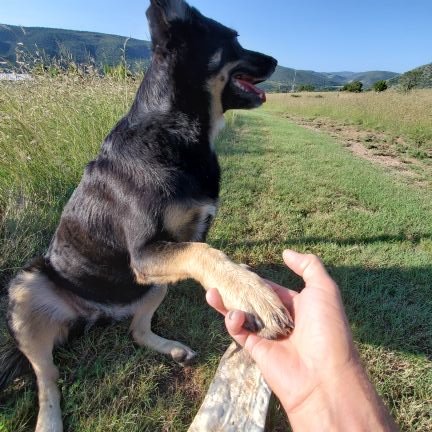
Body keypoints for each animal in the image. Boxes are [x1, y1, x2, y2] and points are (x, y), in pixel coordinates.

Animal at [0, 1, 294, 430]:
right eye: (233, 39)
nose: (274, 61)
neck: (174, 129)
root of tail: (99, 314)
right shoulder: (145, 253)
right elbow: (207, 255)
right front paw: (254, 294)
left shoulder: (175, 244)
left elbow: (207, 254)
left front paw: (245, 287)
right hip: (26, 286)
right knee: (47, 377)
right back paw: (48, 420)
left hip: (151, 285)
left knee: (137, 331)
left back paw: (171, 348)